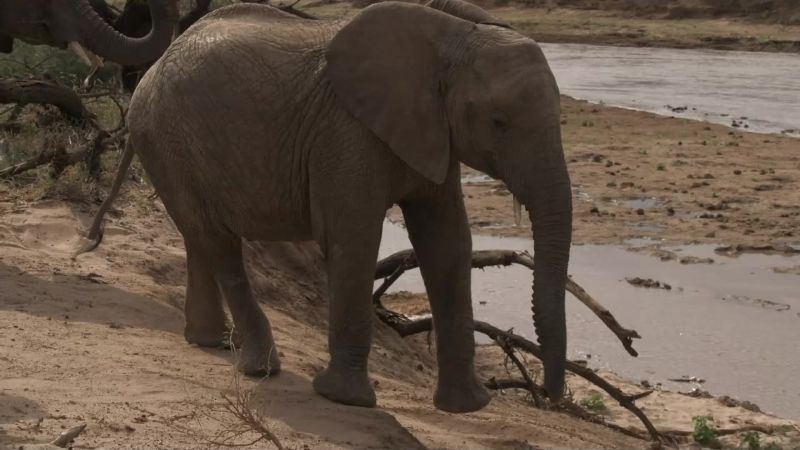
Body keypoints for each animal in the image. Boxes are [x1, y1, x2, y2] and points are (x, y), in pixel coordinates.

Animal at [80, 0, 573, 412]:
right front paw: (346, 400)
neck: (452, 35)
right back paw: (260, 367)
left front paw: (466, 407)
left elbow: (447, 242)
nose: (550, 396)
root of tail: (151, 71)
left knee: (198, 236)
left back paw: (208, 342)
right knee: (217, 240)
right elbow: (355, 238)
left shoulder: (434, 134)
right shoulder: (346, 132)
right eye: (499, 122)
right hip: (166, 138)